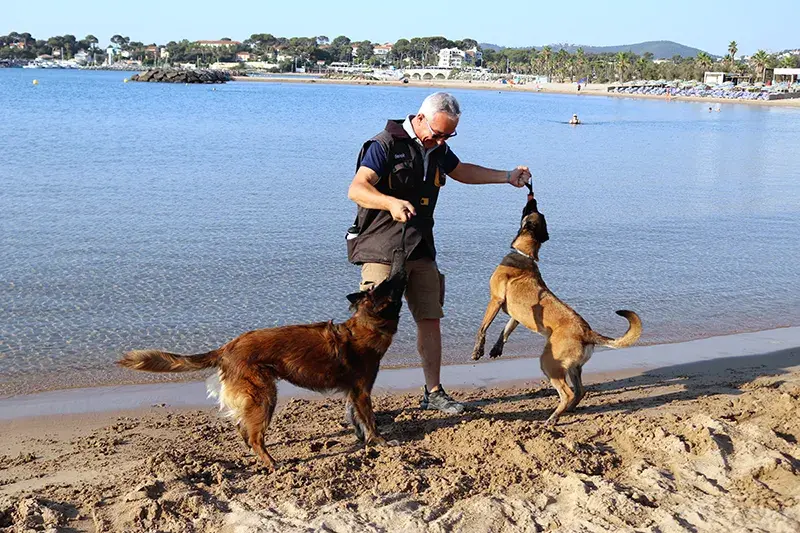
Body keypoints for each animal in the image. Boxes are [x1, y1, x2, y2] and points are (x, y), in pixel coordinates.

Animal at [117, 251, 406, 468]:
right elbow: (369, 420)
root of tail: (227, 348)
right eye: (391, 284)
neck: (366, 327)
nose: (399, 257)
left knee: (243, 429)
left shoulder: (353, 394)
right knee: (254, 437)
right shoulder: (361, 392)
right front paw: (380, 442)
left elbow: (358, 419)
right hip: (264, 395)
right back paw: (271, 462)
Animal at [472, 195, 640, 424]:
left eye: (531, 210)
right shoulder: (516, 316)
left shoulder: (495, 301)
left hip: (549, 363)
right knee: (580, 391)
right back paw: (567, 410)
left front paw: (478, 349)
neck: (525, 254)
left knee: (567, 392)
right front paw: (496, 348)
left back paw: (553, 418)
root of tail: (587, 332)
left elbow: (483, 327)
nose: (532, 198)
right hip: (573, 368)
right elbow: (505, 331)